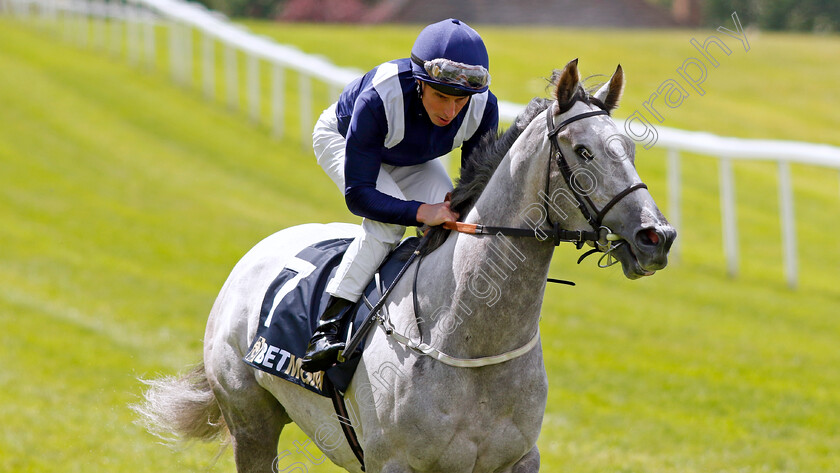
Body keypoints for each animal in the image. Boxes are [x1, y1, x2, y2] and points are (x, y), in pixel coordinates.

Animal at [136, 60, 676, 472]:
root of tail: (260, 251)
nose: (657, 237)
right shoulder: (394, 463)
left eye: (629, 149)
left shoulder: (518, 460)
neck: (469, 335)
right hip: (252, 422)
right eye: (583, 152)